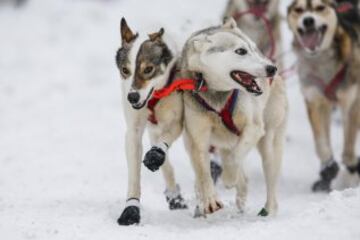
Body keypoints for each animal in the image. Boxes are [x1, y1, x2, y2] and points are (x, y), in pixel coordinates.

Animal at [116, 18, 188, 225]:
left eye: (148, 69)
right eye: (125, 70)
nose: (132, 97)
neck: (154, 96)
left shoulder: (176, 122)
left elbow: (161, 147)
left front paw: (155, 155)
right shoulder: (133, 132)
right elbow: (134, 173)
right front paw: (131, 209)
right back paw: (173, 195)